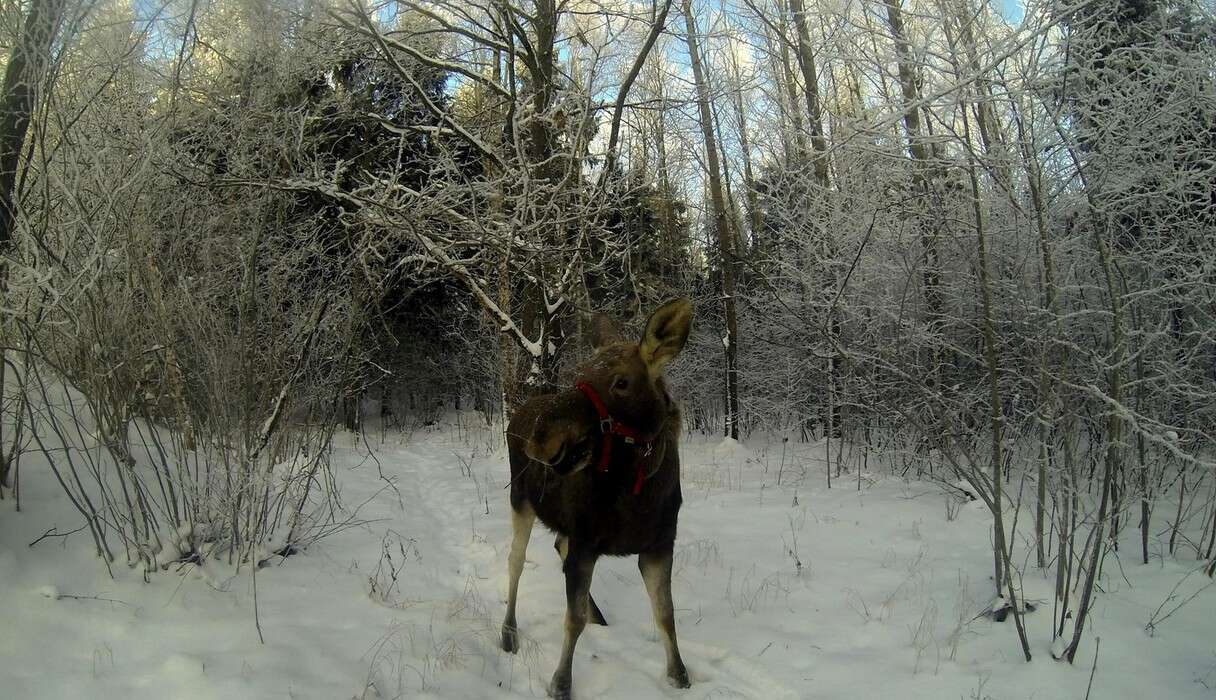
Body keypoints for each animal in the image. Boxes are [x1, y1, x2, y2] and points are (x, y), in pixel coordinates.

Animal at [500, 298, 695, 700]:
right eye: (580, 373)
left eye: (621, 382)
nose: (540, 439)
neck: (638, 495)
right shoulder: (586, 542)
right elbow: (571, 620)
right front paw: (561, 683)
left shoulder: (658, 545)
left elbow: (665, 614)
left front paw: (679, 675)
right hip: (520, 500)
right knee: (515, 560)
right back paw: (508, 632)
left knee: (556, 545)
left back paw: (598, 615)